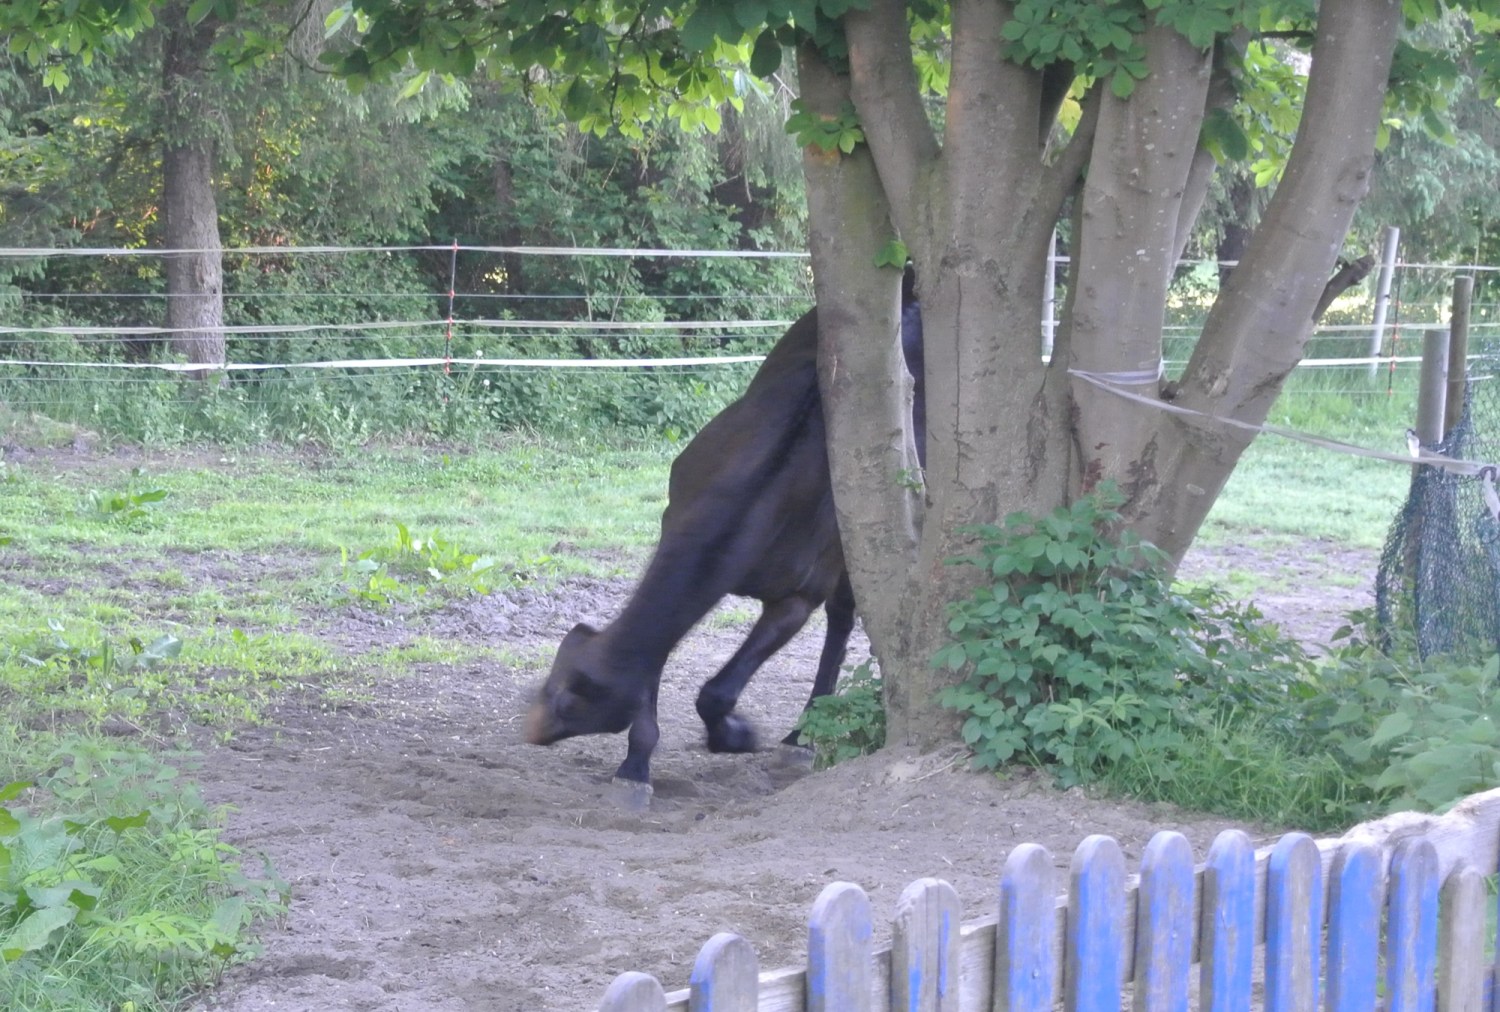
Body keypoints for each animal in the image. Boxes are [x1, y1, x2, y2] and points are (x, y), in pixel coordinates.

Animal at [524, 277, 924, 798]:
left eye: (570, 705)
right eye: (558, 686)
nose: (533, 730)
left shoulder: (795, 600)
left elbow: (716, 693)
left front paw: (735, 735)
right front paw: (635, 766)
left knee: (841, 621)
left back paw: (801, 737)